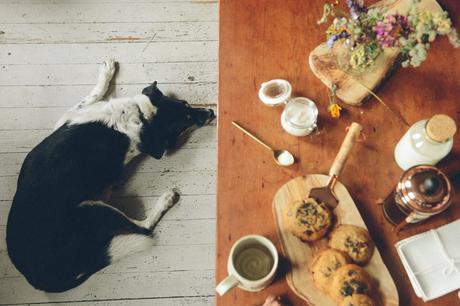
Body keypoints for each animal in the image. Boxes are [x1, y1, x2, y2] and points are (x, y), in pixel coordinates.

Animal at [5, 59, 214, 292]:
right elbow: (92, 95)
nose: (212, 113)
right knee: (143, 228)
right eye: (187, 119)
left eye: (187, 105)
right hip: (91, 207)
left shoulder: (68, 118)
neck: (141, 117)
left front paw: (106, 73)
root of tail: (42, 280)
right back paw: (166, 199)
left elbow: (90, 97)